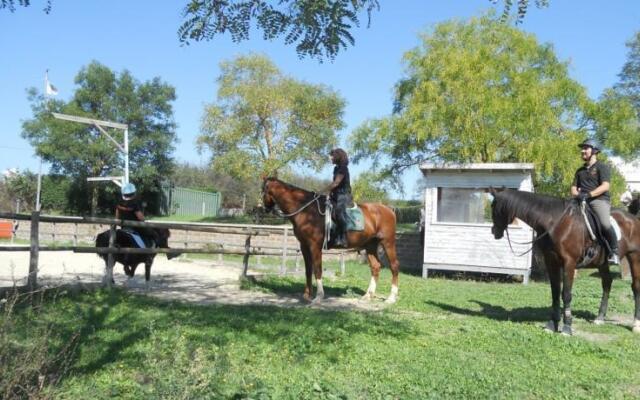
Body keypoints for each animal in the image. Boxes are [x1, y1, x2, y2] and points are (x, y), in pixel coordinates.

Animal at [260, 178, 400, 304]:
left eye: (263, 190)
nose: (264, 208)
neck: (307, 210)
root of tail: (388, 210)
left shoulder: (315, 246)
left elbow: (317, 269)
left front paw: (318, 297)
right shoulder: (304, 246)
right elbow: (308, 270)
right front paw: (307, 295)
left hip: (388, 243)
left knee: (394, 266)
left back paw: (391, 298)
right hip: (370, 245)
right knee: (375, 267)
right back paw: (368, 295)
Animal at [492, 188, 640, 334]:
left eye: (494, 207)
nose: (494, 232)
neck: (556, 223)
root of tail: (634, 219)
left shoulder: (569, 263)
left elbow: (566, 294)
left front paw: (567, 327)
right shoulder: (551, 261)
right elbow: (555, 293)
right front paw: (552, 324)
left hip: (634, 257)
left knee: (635, 287)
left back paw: (635, 324)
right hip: (602, 263)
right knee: (607, 283)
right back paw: (600, 318)